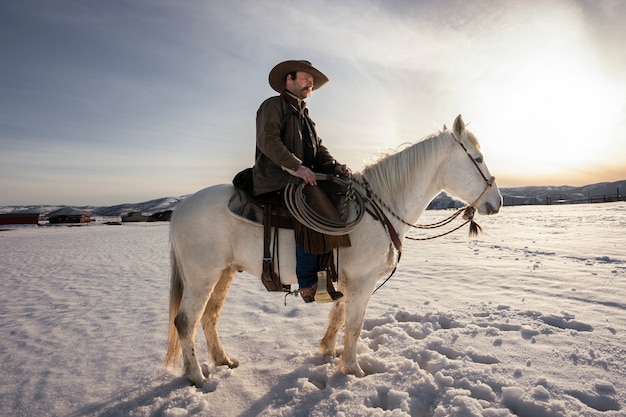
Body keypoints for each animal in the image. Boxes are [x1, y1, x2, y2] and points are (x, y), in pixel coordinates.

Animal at [163, 114, 500, 386]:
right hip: (201, 276)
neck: (380, 210)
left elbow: (338, 317)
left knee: (209, 316)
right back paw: (197, 377)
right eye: (478, 158)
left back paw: (223, 360)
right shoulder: (363, 281)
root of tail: (179, 209)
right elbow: (354, 324)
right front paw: (353, 369)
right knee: (185, 321)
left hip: (224, 272)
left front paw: (328, 351)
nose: (496, 201)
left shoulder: (347, 281)